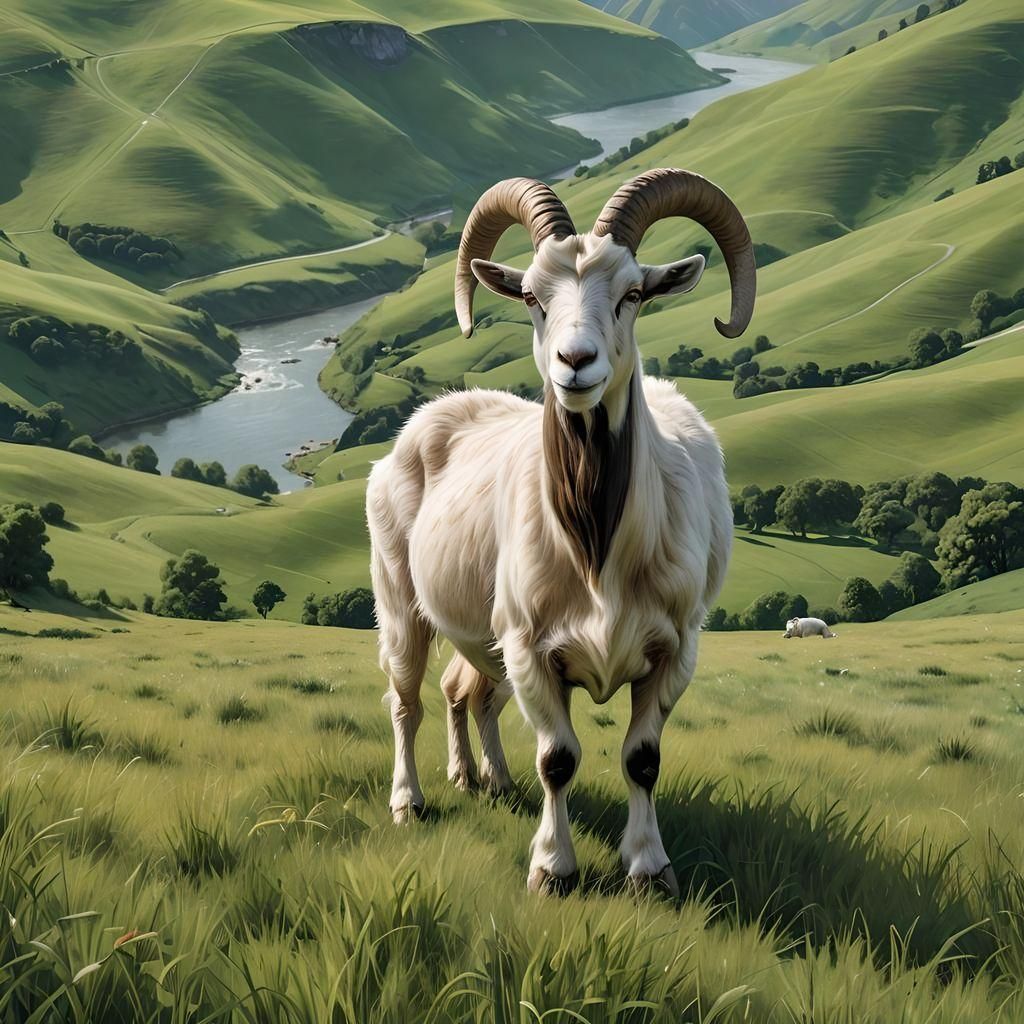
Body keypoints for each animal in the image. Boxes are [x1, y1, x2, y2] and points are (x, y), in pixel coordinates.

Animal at [367, 170, 755, 895]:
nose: (576, 362)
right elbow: (559, 759)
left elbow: (642, 758)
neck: (597, 548)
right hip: (402, 600)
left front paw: (649, 868)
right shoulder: (529, 647)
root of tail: (430, 415)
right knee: (406, 701)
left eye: (633, 293)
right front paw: (553, 869)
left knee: (465, 693)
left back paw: (482, 778)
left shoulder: (676, 648)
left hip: (481, 633)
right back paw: (410, 802)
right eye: (531, 297)